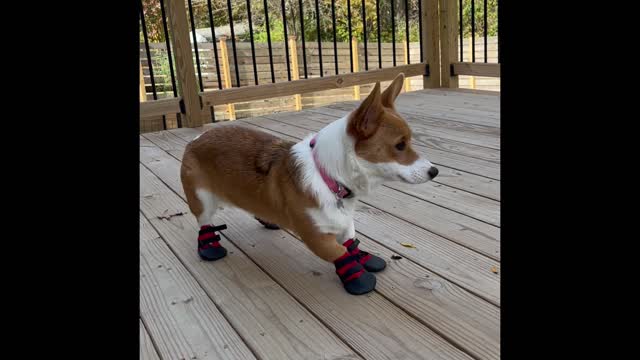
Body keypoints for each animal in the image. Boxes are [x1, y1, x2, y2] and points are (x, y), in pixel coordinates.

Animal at [182, 74, 438, 296]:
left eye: (409, 142)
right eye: (400, 145)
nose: (435, 171)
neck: (328, 177)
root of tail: (196, 139)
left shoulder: (344, 222)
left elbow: (350, 241)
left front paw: (362, 257)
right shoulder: (315, 235)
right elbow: (339, 251)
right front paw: (358, 276)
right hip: (202, 200)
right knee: (204, 223)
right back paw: (210, 247)